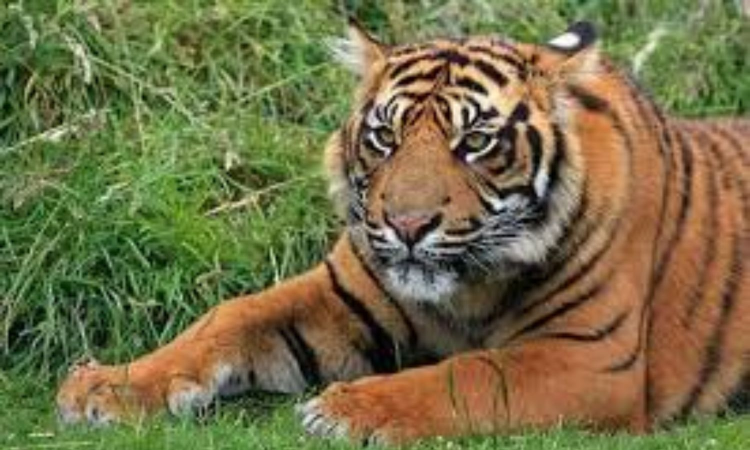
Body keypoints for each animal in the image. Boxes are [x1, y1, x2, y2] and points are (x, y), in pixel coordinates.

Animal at [56, 19, 749, 445]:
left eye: (475, 142)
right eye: (385, 137)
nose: (408, 225)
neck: (468, 288)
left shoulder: (590, 357)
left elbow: (471, 373)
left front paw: (346, 409)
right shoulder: (339, 292)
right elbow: (227, 318)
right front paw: (103, 386)